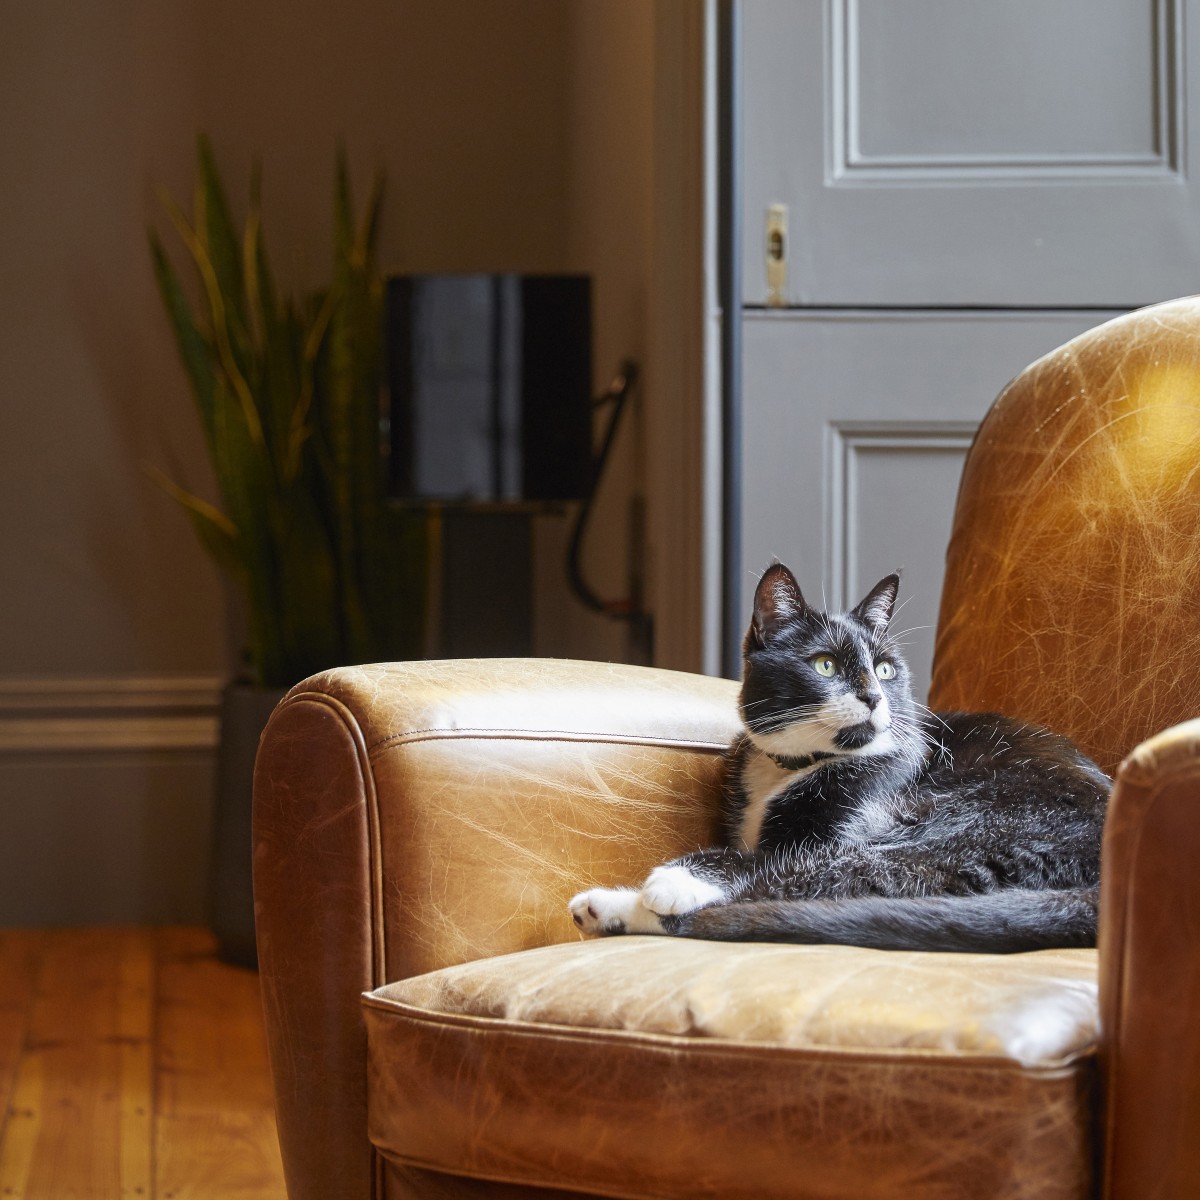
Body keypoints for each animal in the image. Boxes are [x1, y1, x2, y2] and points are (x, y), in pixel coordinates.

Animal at [566, 564, 1108, 955]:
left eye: (885, 669)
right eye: (825, 664)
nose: (873, 694)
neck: (793, 766)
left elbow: (775, 859)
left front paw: (675, 880)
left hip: (976, 826)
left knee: (831, 879)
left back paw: (630, 901)